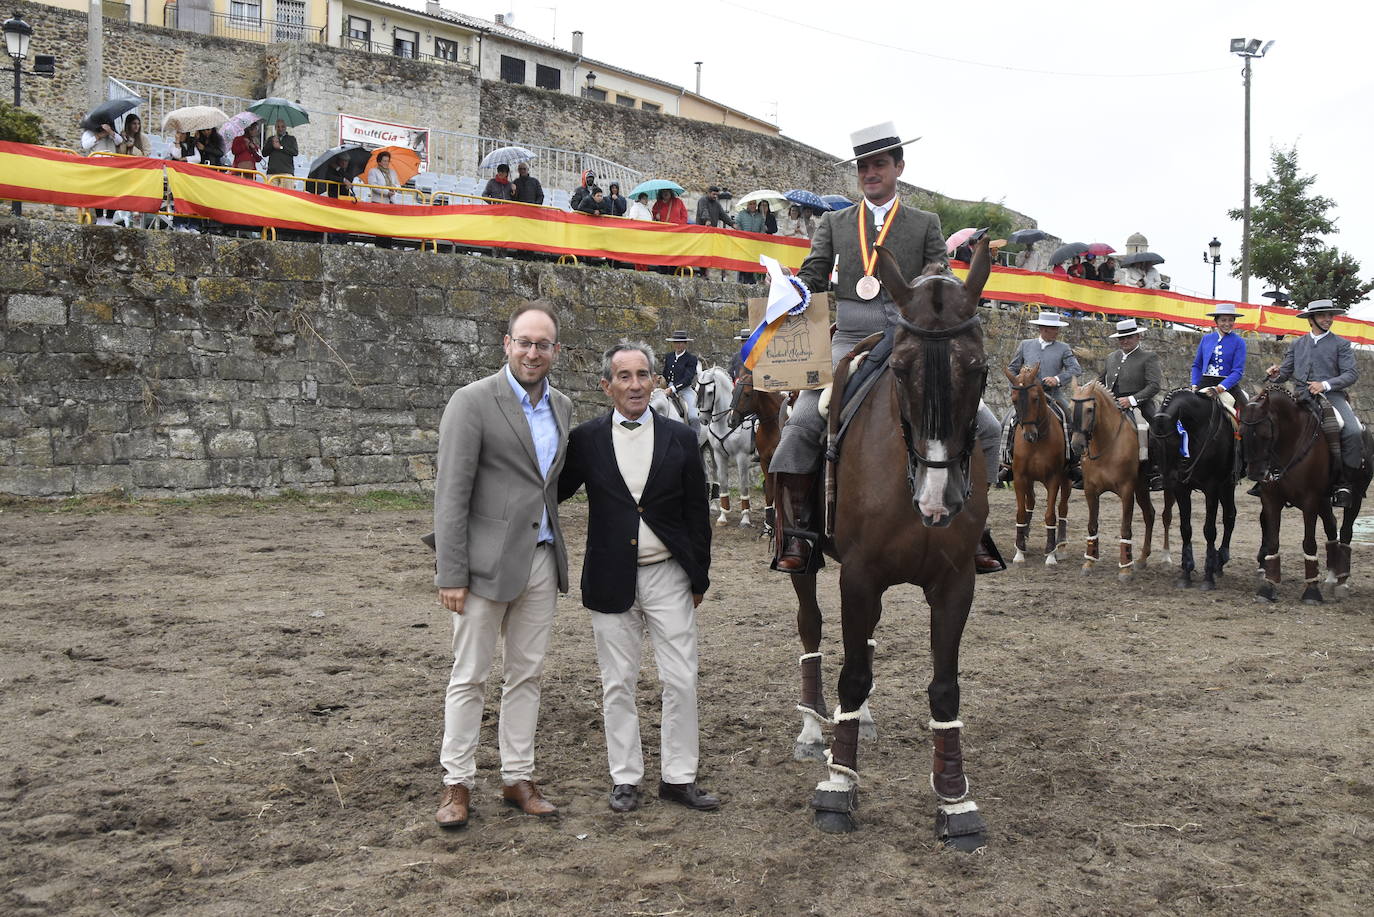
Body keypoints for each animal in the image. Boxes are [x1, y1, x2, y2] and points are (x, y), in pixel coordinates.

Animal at [703, 362, 758, 527]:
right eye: (696, 388)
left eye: (709, 392)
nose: (703, 419)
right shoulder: (719, 456)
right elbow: (723, 482)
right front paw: (722, 516)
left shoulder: (742, 458)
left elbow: (743, 486)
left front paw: (745, 519)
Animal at [802, 240, 994, 852]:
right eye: (903, 368)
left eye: (979, 369)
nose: (940, 502)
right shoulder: (858, 576)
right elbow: (852, 675)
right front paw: (839, 785)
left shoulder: (955, 582)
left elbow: (945, 689)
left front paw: (955, 801)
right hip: (802, 560)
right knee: (811, 626)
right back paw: (815, 724)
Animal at [1000, 362, 1071, 563]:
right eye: (1014, 399)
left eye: (1035, 398)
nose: (1029, 435)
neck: (1038, 441)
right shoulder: (1020, 477)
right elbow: (1021, 512)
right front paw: (1019, 550)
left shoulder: (1054, 478)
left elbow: (1050, 514)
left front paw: (1050, 553)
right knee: (1030, 502)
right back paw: (1024, 535)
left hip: (1066, 479)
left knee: (1063, 507)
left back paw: (1061, 546)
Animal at [1060, 379, 1159, 580]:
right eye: (1071, 407)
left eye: (1090, 409)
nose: (1077, 445)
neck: (1106, 443)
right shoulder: (1090, 490)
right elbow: (1092, 525)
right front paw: (1089, 561)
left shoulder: (1127, 491)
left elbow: (1125, 527)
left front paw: (1125, 568)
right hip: (1141, 488)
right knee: (1149, 514)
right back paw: (1142, 558)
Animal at [1242, 384, 1368, 602]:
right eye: (1241, 433)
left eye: (1265, 434)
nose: (1255, 474)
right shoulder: (1271, 500)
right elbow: (1273, 542)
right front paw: (1267, 586)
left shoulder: (1309, 501)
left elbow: (1309, 543)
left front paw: (1312, 591)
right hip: (1324, 501)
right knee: (1331, 528)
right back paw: (1331, 578)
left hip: (1356, 497)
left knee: (1345, 532)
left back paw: (1342, 582)